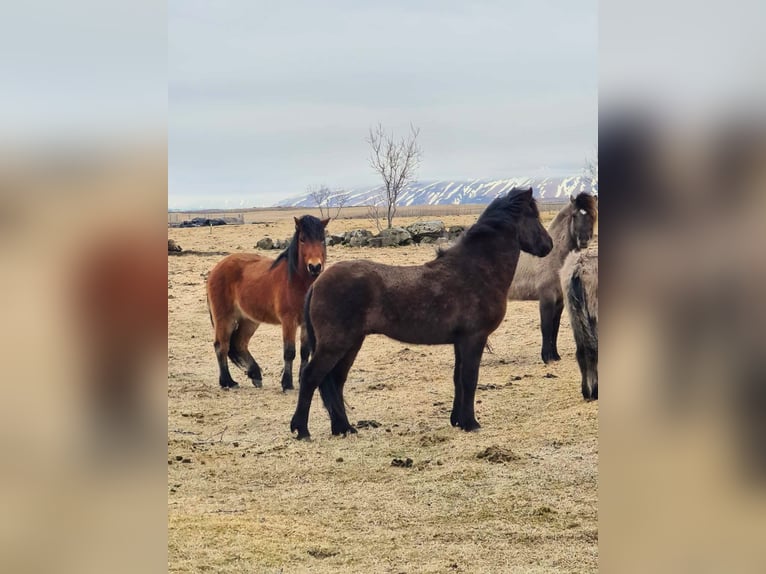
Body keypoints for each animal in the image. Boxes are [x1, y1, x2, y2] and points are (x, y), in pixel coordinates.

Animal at [207, 216, 330, 392]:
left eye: (322, 239)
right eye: (302, 239)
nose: (315, 266)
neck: (297, 280)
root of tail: (216, 268)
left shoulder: (305, 323)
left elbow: (304, 352)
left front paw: (302, 380)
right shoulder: (288, 321)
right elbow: (289, 352)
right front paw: (287, 384)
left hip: (249, 320)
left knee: (239, 344)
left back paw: (255, 375)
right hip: (224, 318)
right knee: (221, 346)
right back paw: (228, 382)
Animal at [510, 194, 600, 364]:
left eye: (593, 215)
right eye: (574, 215)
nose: (584, 240)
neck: (554, 255)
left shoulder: (559, 301)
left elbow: (555, 327)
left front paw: (555, 356)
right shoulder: (547, 298)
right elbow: (546, 327)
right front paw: (546, 358)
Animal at [560, 250, 600, 402]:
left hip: (575, 315)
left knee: (582, 352)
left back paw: (586, 391)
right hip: (592, 315)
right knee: (593, 350)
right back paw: (595, 391)